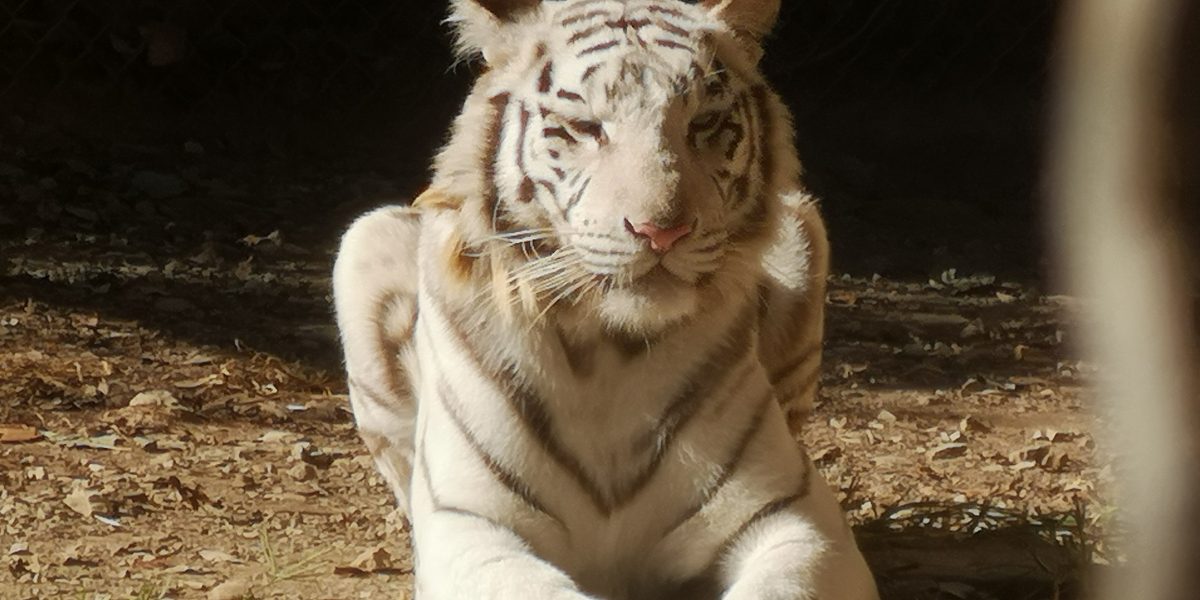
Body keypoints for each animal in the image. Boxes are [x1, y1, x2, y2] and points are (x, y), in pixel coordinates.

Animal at [333, 2, 878, 597]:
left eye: (703, 124)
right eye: (584, 128)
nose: (662, 231)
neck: (609, 356)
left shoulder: (796, 517)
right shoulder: (475, 525)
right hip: (362, 239)